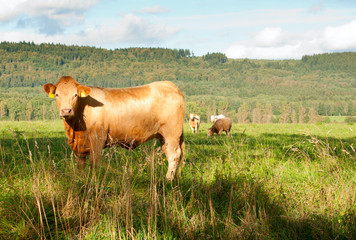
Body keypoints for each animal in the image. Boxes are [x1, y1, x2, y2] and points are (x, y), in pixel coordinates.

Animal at [43, 76, 185, 180]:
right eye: (57, 94)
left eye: (75, 95)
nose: (66, 110)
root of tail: (170, 85)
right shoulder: (79, 147)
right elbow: (80, 165)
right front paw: (80, 180)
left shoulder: (97, 140)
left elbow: (94, 163)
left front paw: (94, 181)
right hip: (164, 137)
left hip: (171, 133)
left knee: (174, 155)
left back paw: (168, 180)